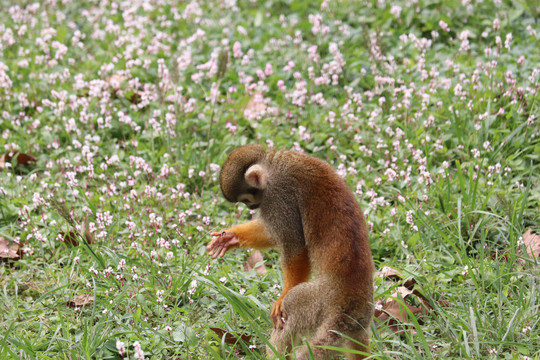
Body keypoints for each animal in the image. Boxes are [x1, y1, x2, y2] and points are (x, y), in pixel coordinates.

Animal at [208, 145, 376, 358]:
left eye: (246, 199)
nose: (252, 206)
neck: (274, 165)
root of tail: (349, 308)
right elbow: (272, 234)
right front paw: (231, 237)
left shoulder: (278, 196)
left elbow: (295, 245)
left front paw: (282, 297)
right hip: (362, 320)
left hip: (320, 301)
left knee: (292, 311)